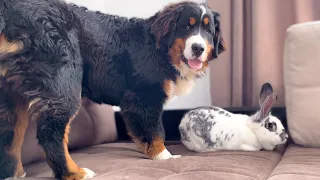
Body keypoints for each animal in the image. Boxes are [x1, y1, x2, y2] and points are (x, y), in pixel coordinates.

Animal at [0, 0, 225, 179]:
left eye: (208, 31)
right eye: (186, 27)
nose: (198, 48)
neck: (160, 50)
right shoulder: (144, 97)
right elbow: (155, 131)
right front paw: (164, 157)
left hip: (11, 96)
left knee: (10, 137)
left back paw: (14, 174)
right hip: (63, 83)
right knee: (51, 133)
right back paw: (74, 173)